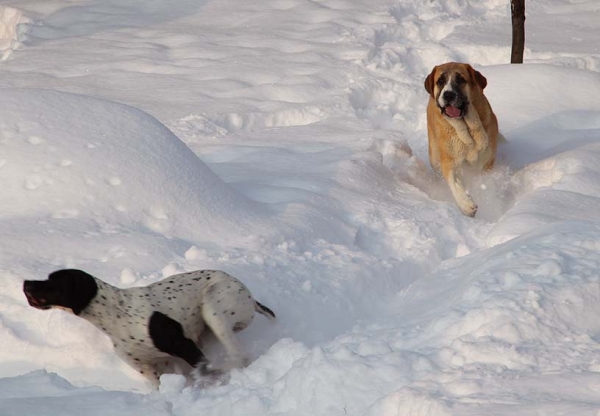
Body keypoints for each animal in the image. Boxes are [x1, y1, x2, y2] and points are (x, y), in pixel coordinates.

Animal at [424, 62, 500, 218]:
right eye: (440, 81)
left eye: (460, 80)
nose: (448, 94)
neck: (467, 129)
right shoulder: (449, 160)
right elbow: (454, 182)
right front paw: (466, 205)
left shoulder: (486, 162)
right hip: (434, 156)